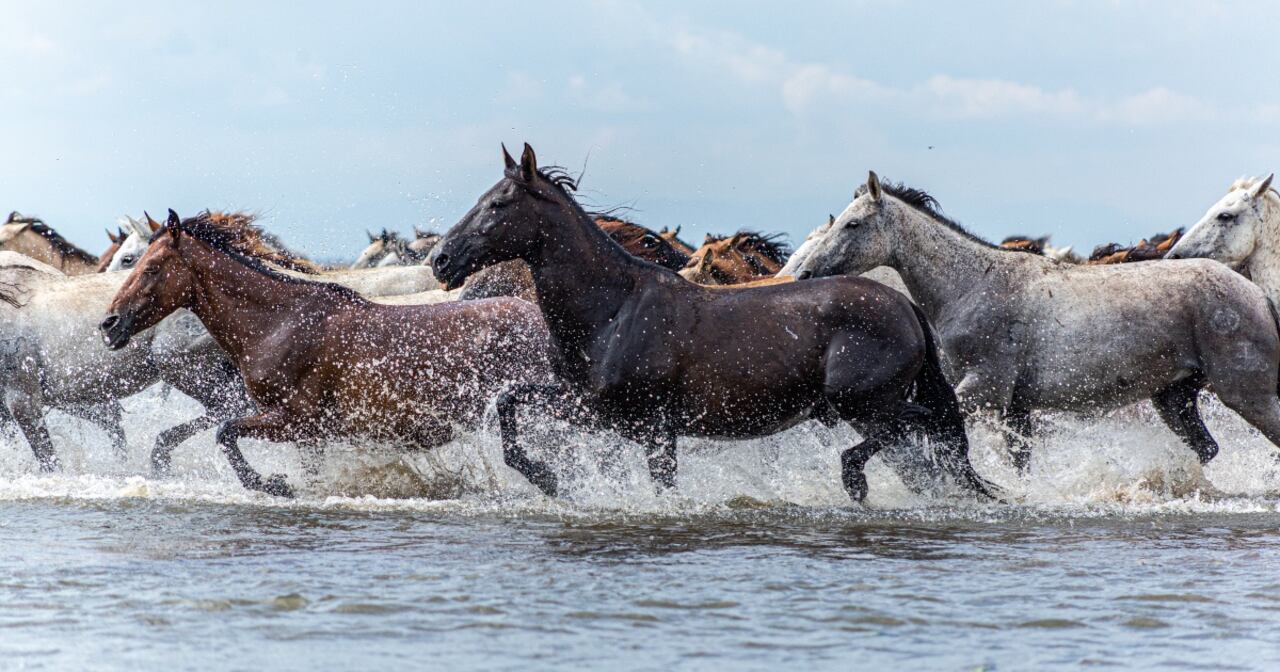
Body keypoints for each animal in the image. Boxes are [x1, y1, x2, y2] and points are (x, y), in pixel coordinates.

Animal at [100, 209, 551, 497]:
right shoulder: (308, 434)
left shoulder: (295, 420)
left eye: (149, 267)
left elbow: (225, 432)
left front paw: (274, 484)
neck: (277, 324)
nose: (109, 325)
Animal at [430, 144, 993, 502]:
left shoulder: (654, 427)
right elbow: (508, 404)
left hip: (861, 401)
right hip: (859, 408)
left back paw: (855, 480)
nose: (440, 260)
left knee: (925, 426)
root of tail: (905, 306)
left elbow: (664, 485)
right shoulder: (594, 409)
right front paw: (552, 481)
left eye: (498, 204)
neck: (612, 311)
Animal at [794, 171, 1280, 473]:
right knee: (1206, 449)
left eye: (852, 225)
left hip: (1247, 394)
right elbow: (1020, 463)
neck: (972, 285)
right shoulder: (1016, 408)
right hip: (1174, 399)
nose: (804, 275)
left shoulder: (983, 390)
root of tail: (1258, 295)